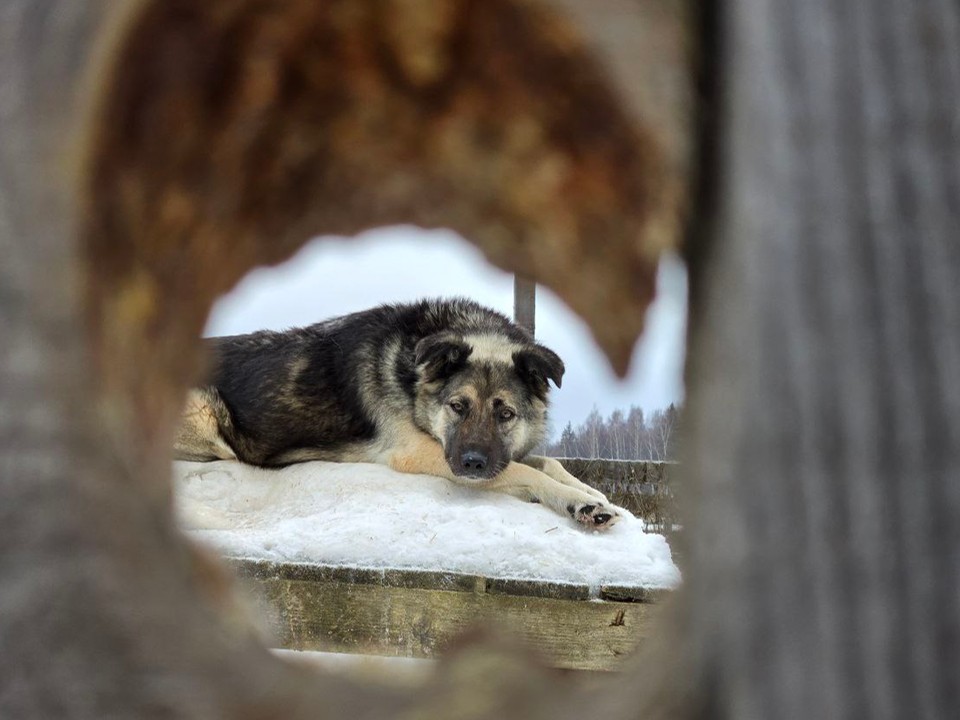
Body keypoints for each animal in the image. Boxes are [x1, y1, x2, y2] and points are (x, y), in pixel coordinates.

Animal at [175, 296, 620, 528]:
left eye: (505, 414)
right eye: (458, 406)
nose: (472, 464)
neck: (414, 376)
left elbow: (547, 462)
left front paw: (590, 492)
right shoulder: (422, 453)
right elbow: (528, 472)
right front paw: (580, 504)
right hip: (205, 408)